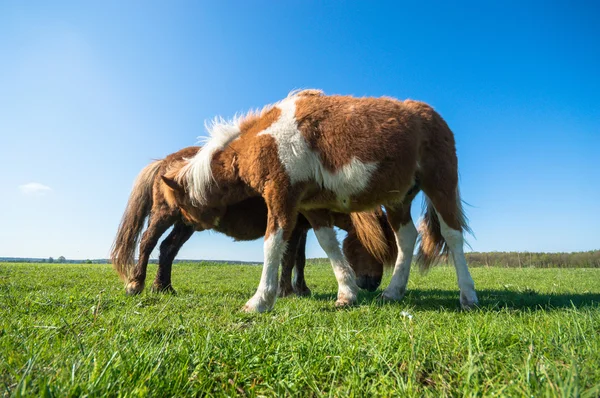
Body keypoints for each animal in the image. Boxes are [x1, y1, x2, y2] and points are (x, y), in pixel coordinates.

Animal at [110, 146, 396, 296]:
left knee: (167, 248)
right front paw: (286, 291)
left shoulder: (303, 228)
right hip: (164, 214)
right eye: (378, 248)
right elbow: (289, 259)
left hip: (186, 222)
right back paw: (136, 284)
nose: (372, 285)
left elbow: (299, 260)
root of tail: (163, 163)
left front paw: (300, 289)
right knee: (148, 242)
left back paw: (164, 287)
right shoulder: (294, 225)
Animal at [172, 88, 478, 312]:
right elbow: (328, 245)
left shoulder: (281, 196)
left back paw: (468, 296)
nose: (184, 226)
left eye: (182, 203)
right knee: (406, 238)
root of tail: (435, 118)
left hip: (440, 185)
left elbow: (273, 244)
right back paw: (393, 292)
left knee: (452, 235)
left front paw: (260, 301)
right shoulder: (312, 206)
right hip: (398, 199)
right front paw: (347, 294)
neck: (266, 137)